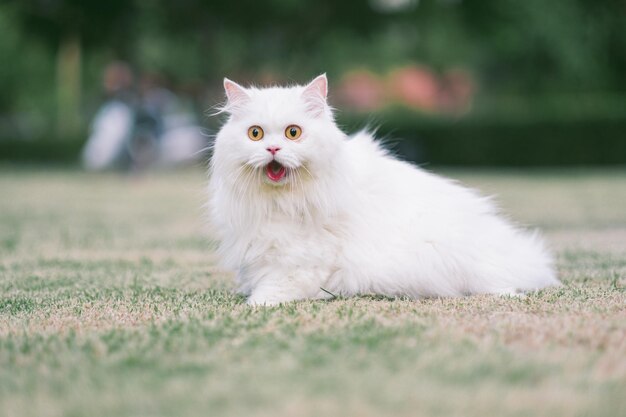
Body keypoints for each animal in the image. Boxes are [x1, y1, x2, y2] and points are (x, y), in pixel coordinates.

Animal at [208, 74, 556, 306]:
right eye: (255, 134)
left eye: (293, 133)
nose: (273, 149)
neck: (279, 202)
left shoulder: (304, 259)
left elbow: (276, 288)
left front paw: (255, 304)